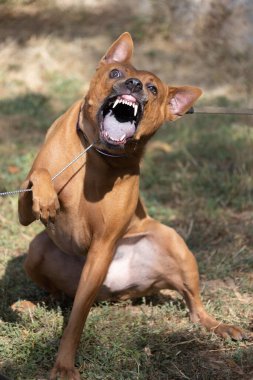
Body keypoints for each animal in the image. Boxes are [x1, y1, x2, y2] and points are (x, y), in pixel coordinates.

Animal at [18, 33, 245, 380]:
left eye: (153, 89)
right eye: (115, 73)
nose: (134, 83)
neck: (93, 154)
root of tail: (121, 291)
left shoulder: (103, 245)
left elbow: (76, 320)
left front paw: (64, 364)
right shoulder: (23, 208)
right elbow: (38, 176)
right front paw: (46, 197)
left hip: (174, 243)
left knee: (194, 306)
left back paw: (219, 326)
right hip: (36, 249)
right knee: (55, 294)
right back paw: (30, 307)